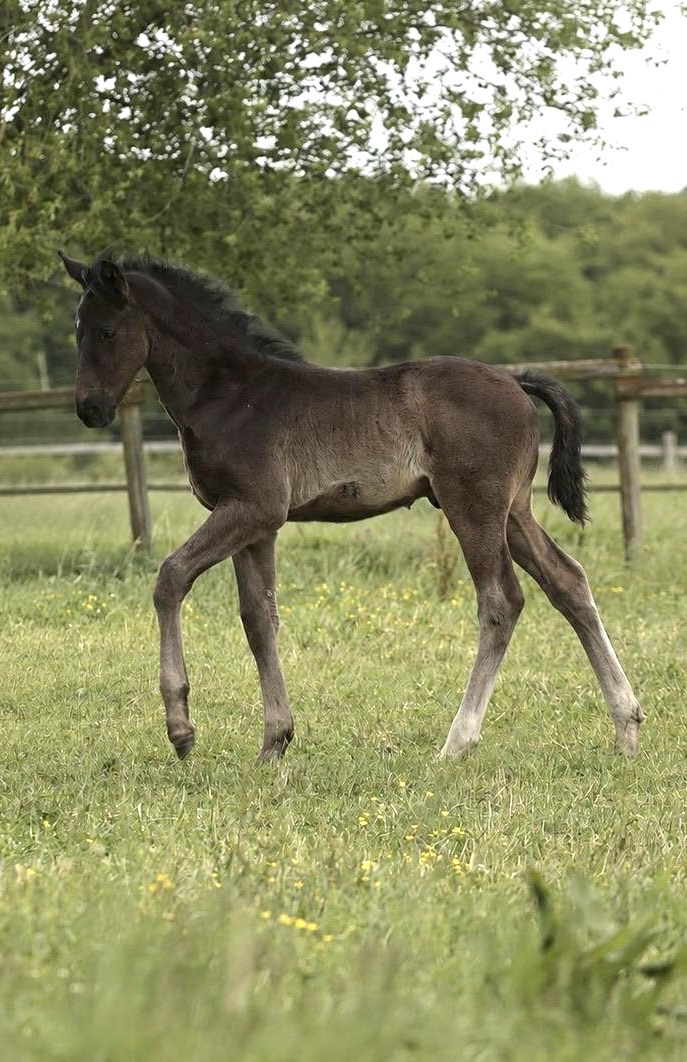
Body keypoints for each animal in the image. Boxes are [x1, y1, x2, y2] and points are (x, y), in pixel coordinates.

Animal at [59, 251, 644, 762]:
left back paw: (457, 742)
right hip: (514, 512)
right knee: (567, 581)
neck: (228, 394)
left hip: (473, 507)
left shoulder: (252, 508)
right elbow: (258, 619)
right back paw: (627, 727)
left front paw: (181, 729)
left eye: (107, 332)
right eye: (76, 331)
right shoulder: (256, 526)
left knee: (501, 601)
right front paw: (274, 742)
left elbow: (171, 578)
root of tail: (515, 380)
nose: (89, 408)